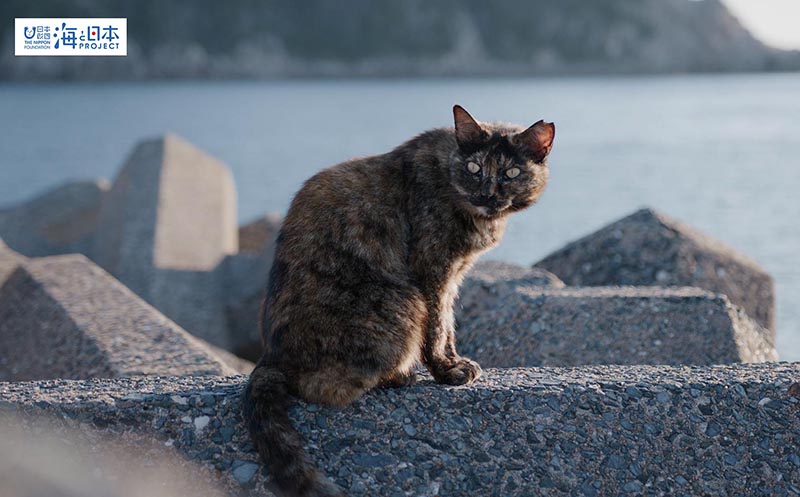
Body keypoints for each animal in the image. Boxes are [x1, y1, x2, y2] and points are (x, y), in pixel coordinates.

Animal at [244, 105, 556, 496]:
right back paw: (400, 375)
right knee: (325, 388)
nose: (487, 193)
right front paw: (447, 371)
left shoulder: (454, 276)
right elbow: (438, 326)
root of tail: (270, 357)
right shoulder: (432, 271)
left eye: (511, 172)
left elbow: (448, 322)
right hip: (403, 300)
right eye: (474, 168)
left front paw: (452, 362)